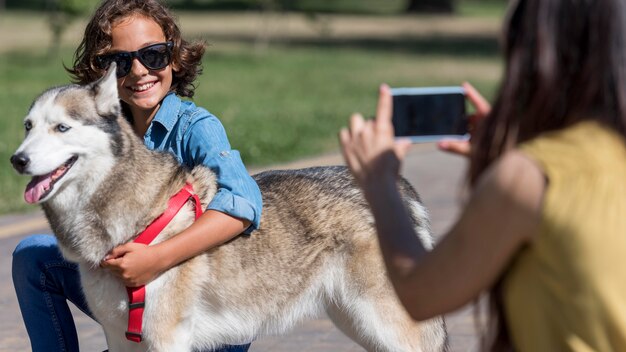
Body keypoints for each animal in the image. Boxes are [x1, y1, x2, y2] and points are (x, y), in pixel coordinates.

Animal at [12, 66, 446, 352]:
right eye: (28, 126)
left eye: (62, 128)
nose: (17, 160)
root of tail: (398, 187)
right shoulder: (120, 339)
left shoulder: (166, 339)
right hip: (358, 322)